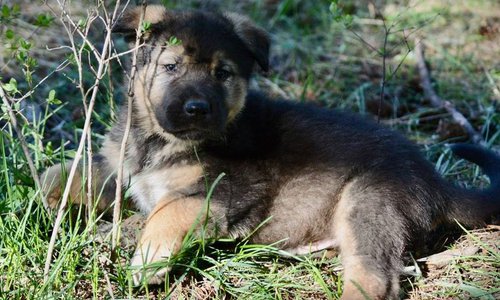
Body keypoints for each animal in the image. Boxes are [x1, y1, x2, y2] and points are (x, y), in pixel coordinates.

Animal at [41, 5, 498, 300]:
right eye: (170, 67)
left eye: (222, 74)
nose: (197, 108)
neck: (157, 140)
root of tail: (434, 180)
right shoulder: (124, 169)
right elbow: (74, 172)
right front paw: (45, 196)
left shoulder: (224, 192)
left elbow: (166, 212)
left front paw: (148, 258)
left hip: (369, 201)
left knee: (375, 280)